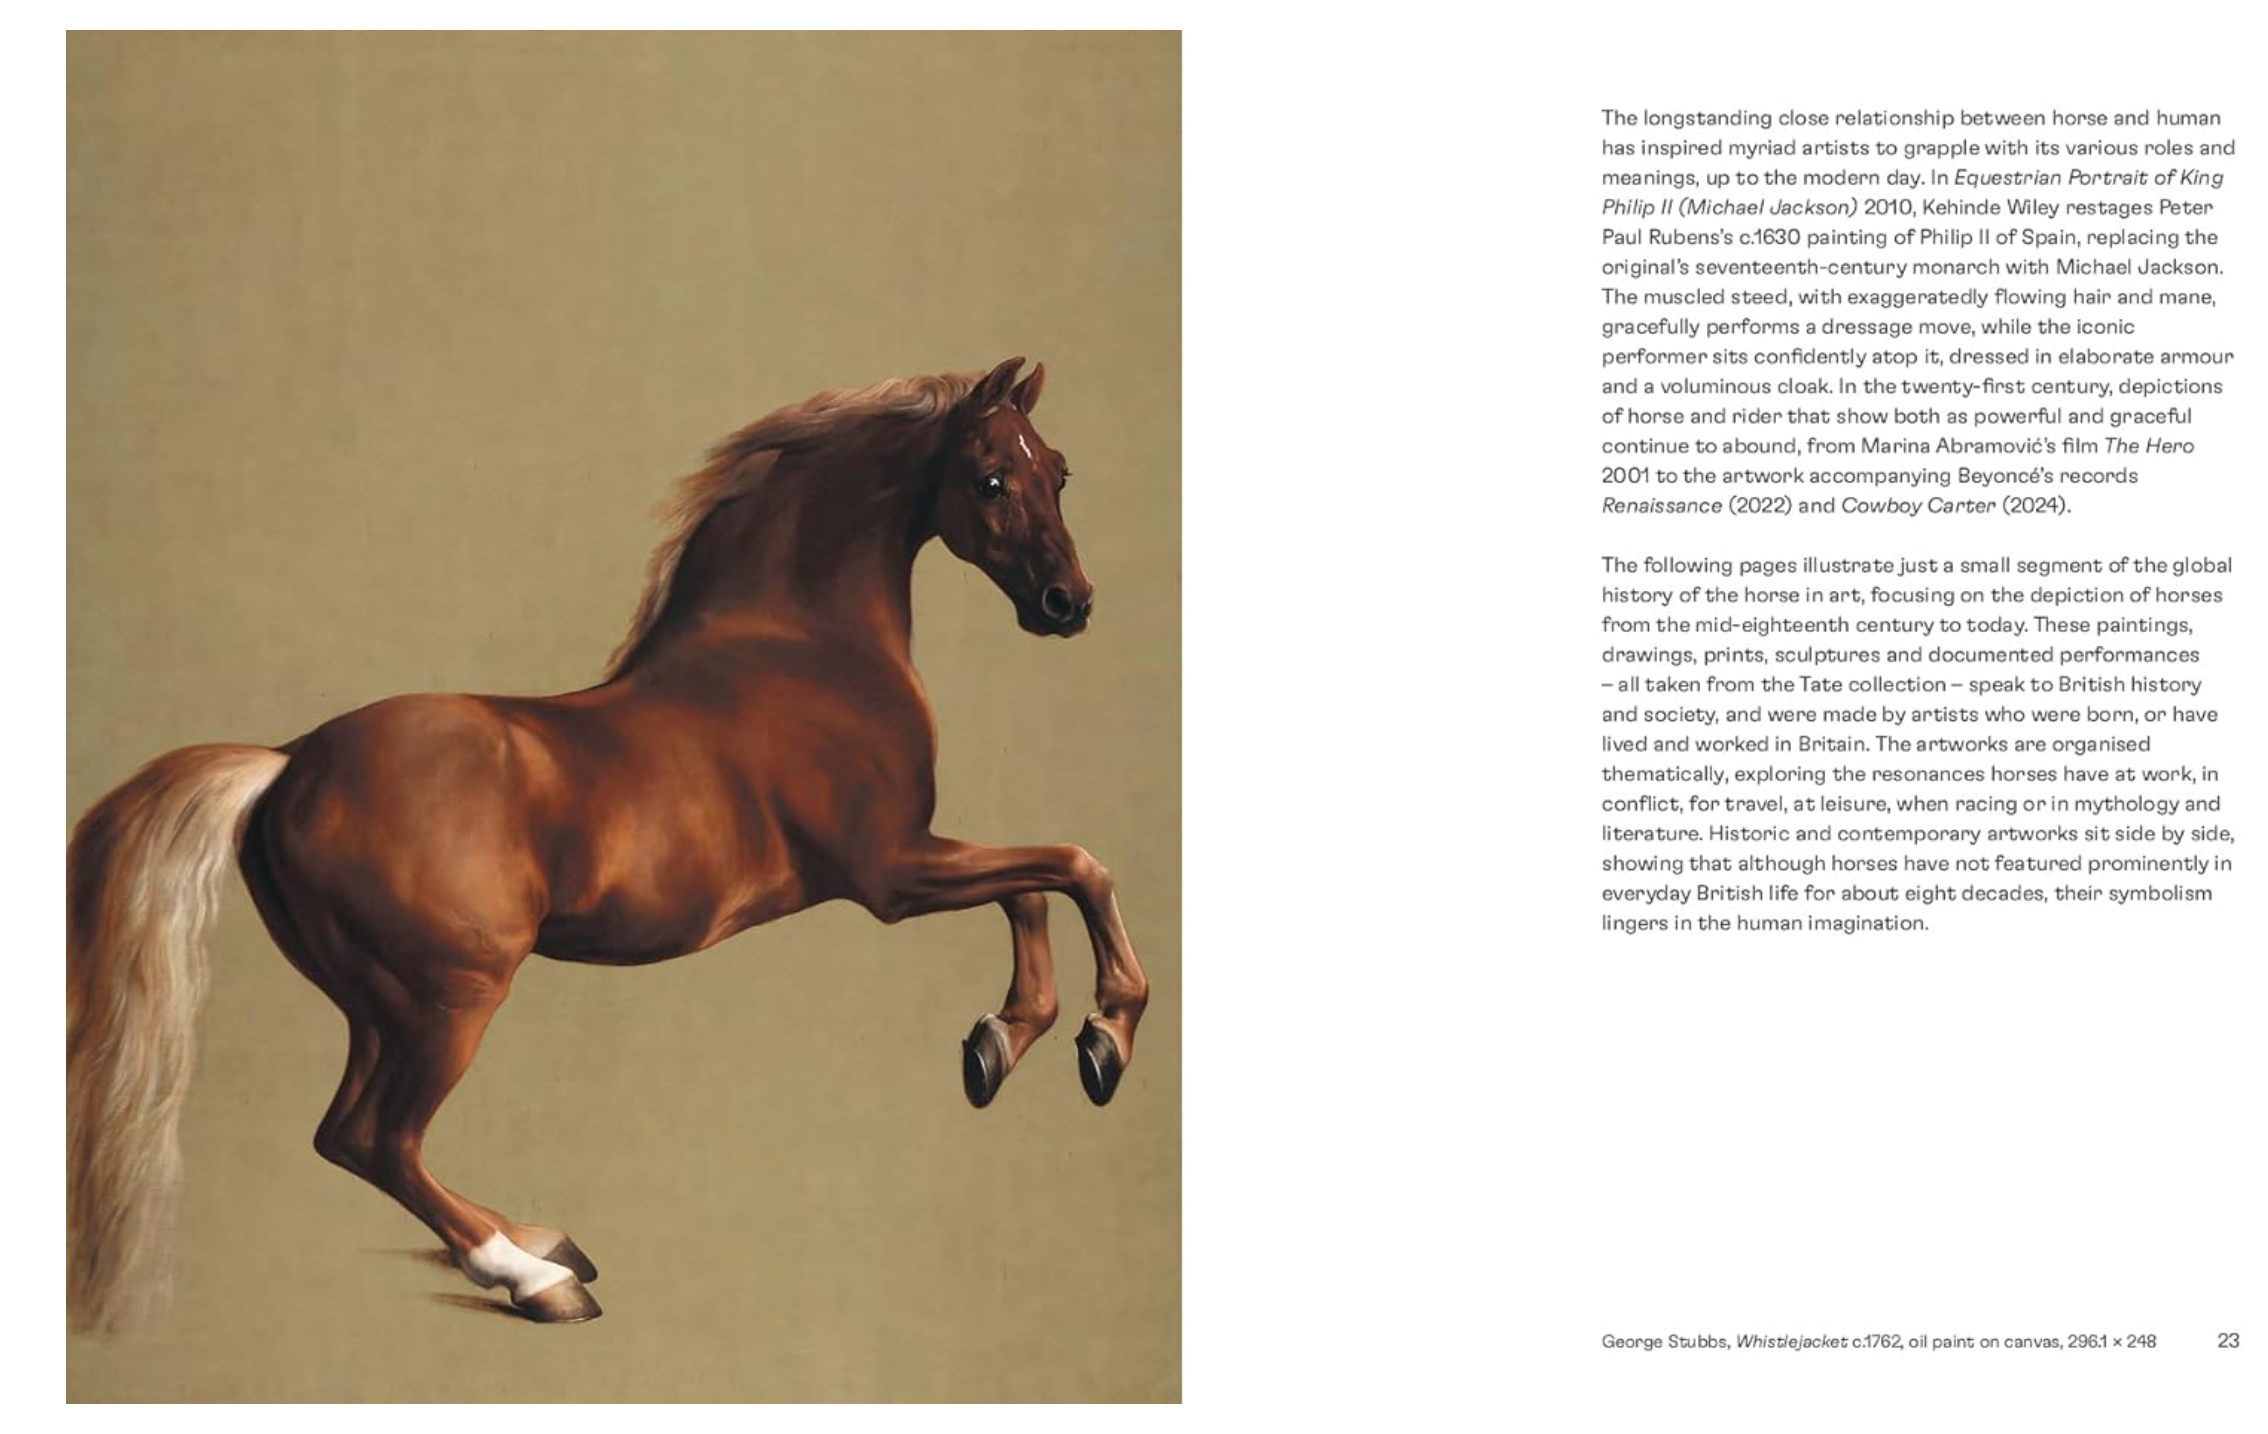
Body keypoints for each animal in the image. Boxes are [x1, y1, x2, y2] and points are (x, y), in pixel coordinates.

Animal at [66, 357, 1150, 1330]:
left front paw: (999, 1044)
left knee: (355, 1138)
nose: (1069, 605)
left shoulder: (914, 859)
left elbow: (1034, 886)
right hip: (450, 998)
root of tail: (288, 762)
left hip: (376, 1004)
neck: (803, 649)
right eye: (990, 478)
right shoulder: (892, 870)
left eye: (1059, 471)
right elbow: (1072, 866)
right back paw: (535, 1277)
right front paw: (1102, 1039)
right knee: (375, 1138)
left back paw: (541, 1241)